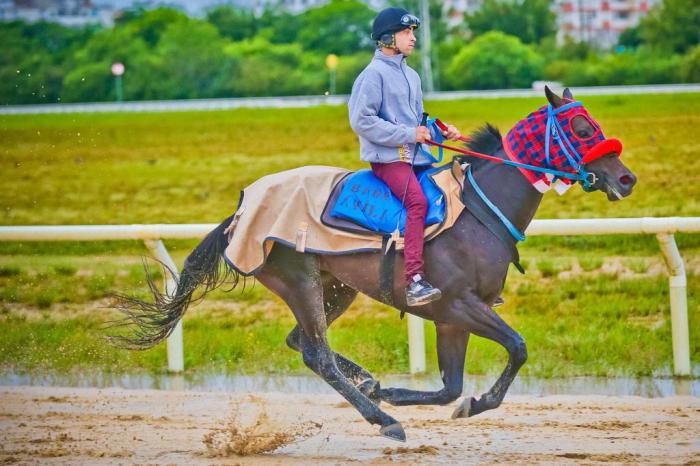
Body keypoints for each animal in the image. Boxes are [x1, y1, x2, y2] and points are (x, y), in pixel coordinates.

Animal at [108, 87, 636, 440]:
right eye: (582, 128)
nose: (626, 178)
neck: (477, 211)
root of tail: (241, 210)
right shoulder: (458, 305)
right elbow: (518, 348)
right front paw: (469, 402)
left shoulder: (451, 318)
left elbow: (450, 387)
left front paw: (405, 392)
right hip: (299, 280)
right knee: (318, 354)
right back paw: (384, 420)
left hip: (335, 287)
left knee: (302, 343)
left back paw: (371, 385)